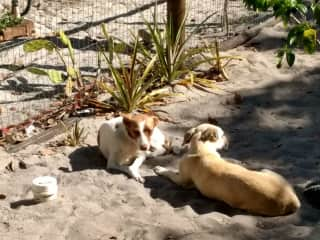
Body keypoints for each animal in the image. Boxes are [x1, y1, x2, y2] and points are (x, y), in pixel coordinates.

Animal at [154, 124, 302, 217]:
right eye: (222, 135)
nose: (227, 138)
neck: (202, 149)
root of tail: (293, 202)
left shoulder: (182, 181)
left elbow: (170, 172)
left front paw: (160, 168)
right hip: (268, 171)